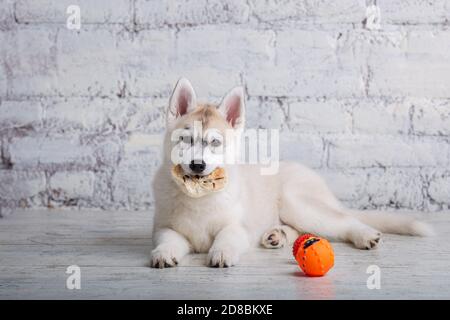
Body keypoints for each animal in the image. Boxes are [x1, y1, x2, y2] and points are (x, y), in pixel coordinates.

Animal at [150, 77, 432, 268]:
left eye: (215, 143)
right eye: (186, 139)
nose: (197, 165)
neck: (199, 195)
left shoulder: (238, 227)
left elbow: (227, 236)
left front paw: (221, 252)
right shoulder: (164, 227)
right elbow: (167, 239)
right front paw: (163, 253)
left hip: (296, 202)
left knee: (343, 222)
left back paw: (365, 235)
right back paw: (277, 235)